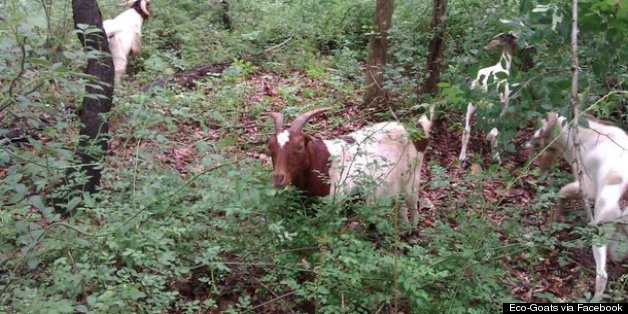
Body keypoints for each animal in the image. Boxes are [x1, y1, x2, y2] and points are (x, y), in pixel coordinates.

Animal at [264, 108, 432, 226]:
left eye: (299, 146)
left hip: (413, 177)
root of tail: (414, 131)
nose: (278, 178)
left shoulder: (335, 206)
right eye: (270, 146)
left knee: (412, 203)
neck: (322, 165)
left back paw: (411, 229)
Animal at [458, 32, 516, 163]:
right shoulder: (505, 102)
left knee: (466, 130)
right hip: (493, 104)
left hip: (472, 103)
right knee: (494, 131)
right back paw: (497, 158)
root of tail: (480, 83)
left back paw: (462, 157)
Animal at [528, 111, 628, 300]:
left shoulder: (584, 187)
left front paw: (551, 224)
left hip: (600, 232)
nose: (533, 139)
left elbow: (561, 193)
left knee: (602, 276)